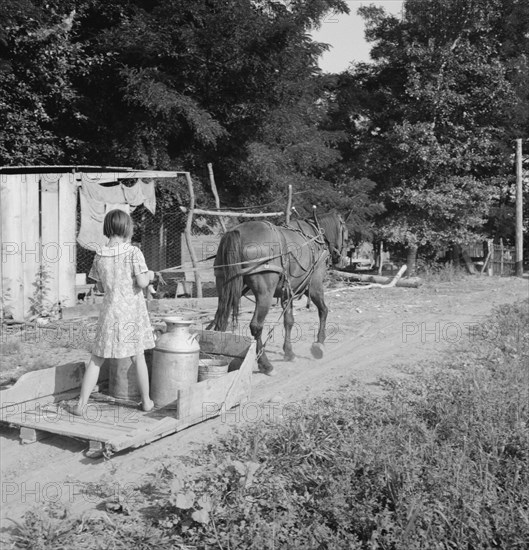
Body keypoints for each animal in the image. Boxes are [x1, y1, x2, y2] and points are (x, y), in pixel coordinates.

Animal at [208, 211, 348, 376]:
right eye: (346, 237)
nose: (342, 260)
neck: (316, 235)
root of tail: (236, 232)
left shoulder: (287, 293)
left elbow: (289, 321)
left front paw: (289, 353)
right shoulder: (314, 286)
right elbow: (323, 310)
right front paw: (319, 344)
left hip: (224, 287)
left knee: (221, 319)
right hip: (265, 294)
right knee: (256, 326)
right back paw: (265, 364)